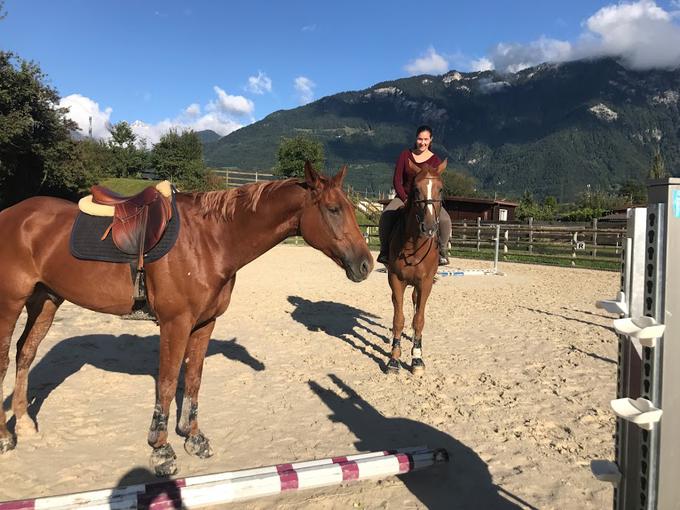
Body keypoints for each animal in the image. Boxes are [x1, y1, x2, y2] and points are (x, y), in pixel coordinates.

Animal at [0, 162, 372, 474]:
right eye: (334, 209)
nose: (366, 264)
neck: (210, 240)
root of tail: (12, 214)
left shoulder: (204, 324)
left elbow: (193, 380)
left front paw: (193, 437)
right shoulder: (175, 324)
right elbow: (166, 384)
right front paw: (161, 449)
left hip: (46, 300)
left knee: (25, 352)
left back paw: (24, 423)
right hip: (10, 304)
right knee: (5, 359)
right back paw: (6, 437)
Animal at [382, 159, 446, 374]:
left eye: (441, 189)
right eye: (416, 189)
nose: (429, 228)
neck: (415, 245)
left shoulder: (425, 283)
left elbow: (419, 320)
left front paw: (417, 359)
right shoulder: (396, 280)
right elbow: (398, 319)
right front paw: (394, 358)